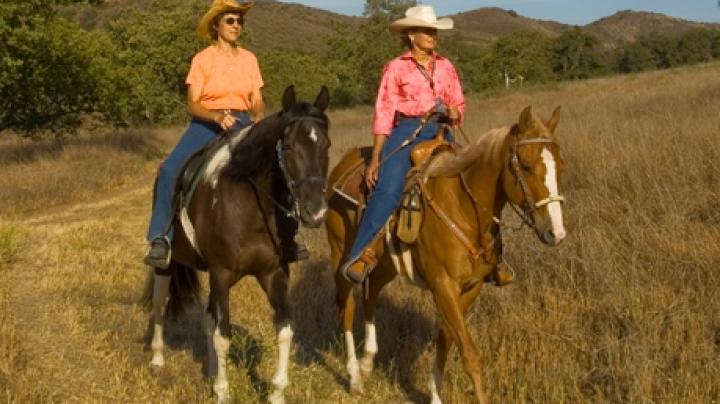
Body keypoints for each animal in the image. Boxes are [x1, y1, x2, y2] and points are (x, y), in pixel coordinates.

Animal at [143, 86, 332, 404]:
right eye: (289, 146)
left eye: (326, 145)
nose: (314, 211)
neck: (251, 206)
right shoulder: (222, 274)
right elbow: (224, 334)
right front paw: (223, 392)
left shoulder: (274, 274)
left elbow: (284, 330)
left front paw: (276, 392)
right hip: (168, 266)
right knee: (159, 305)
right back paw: (157, 359)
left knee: (208, 319)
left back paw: (209, 370)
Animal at [326, 107, 568, 404]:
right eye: (525, 166)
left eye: (560, 165)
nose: (556, 232)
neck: (462, 207)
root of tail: (341, 166)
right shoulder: (444, 286)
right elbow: (469, 353)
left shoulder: (470, 288)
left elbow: (445, 339)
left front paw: (435, 395)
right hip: (340, 255)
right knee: (347, 308)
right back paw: (354, 378)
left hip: (385, 265)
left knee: (371, 296)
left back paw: (368, 362)